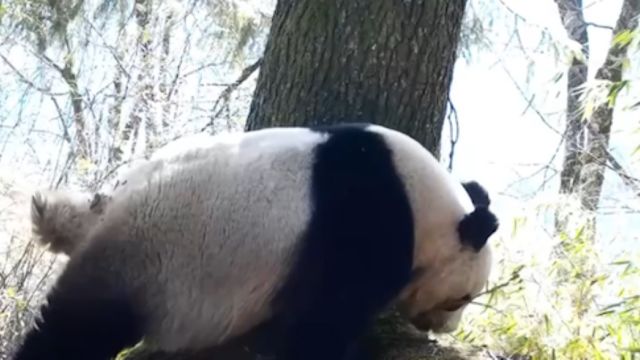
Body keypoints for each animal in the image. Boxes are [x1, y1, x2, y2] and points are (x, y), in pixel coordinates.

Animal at [12, 123, 498, 360]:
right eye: (462, 299)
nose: (445, 328)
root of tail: (104, 206)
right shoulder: (361, 226)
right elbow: (323, 320)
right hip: (145, 258)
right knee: (75, 330)